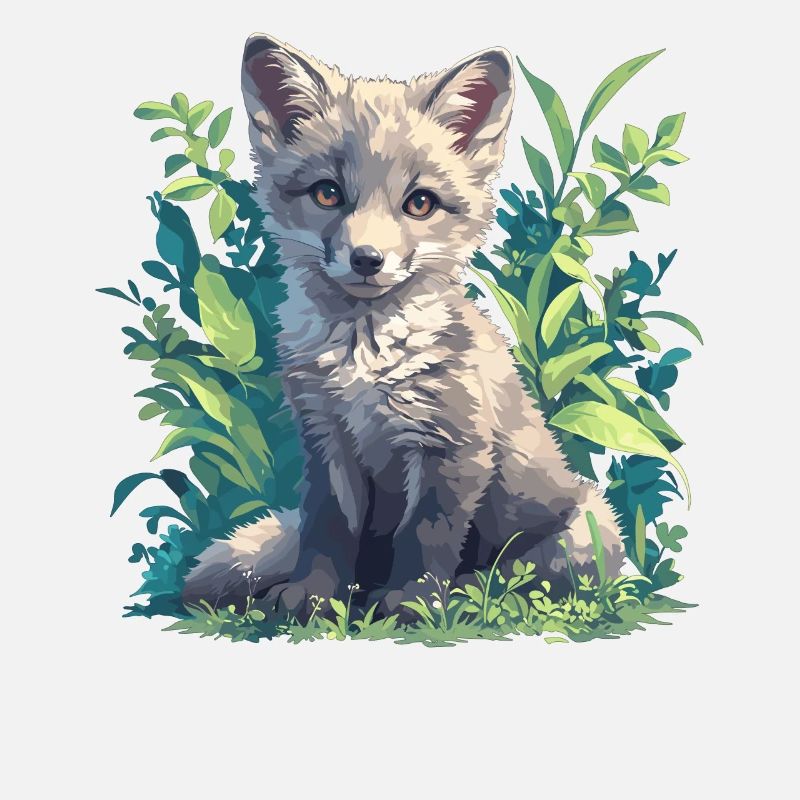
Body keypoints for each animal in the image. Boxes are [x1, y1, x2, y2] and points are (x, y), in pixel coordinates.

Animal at [182, 33, 625, 620]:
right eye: (327, 193)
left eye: (420, 203)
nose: (367, 259)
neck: (364, 358)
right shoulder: (326, 440)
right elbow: (326, 529)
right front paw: (314, 595)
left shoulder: (452, 446)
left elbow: (426, 534)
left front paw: (414, 603)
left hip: (582, 532)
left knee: (524, 580)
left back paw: (474, 594)